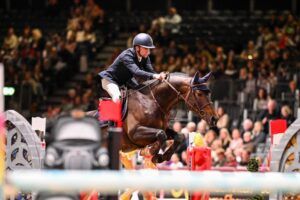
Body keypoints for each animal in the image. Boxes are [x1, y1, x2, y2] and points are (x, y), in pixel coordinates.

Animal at [89, 71, 218, 164]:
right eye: (199, 94)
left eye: (209, 93)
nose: (214, 119)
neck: (153, 101)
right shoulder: (135, 133)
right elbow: (161, 134)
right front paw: (149, 151)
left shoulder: (162, 128)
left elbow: (178, 136)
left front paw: (161, 157)